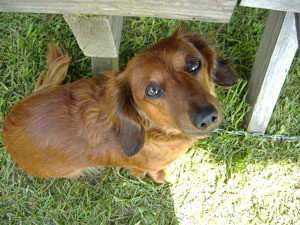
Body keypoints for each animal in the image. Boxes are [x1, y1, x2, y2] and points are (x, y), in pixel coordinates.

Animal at [2, 28, 237, 183]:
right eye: (152, 90)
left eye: (194, 63)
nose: (206, 117)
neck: (151, 130)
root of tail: (6, 129)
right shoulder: (152, 165)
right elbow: (157, 173)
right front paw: (165, 177)